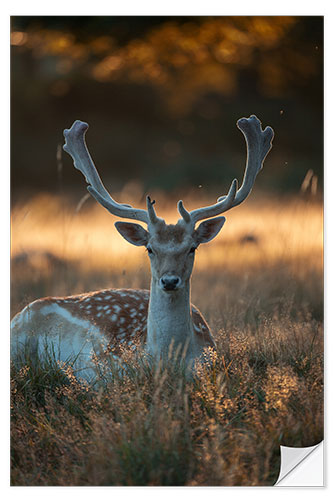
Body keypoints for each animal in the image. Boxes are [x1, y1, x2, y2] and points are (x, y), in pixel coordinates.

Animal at [11, 114, 274, 378]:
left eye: (192, 248)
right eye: (150, 248)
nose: (169, 281)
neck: (166, 361)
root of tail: (23, 310)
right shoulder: (99, 368)